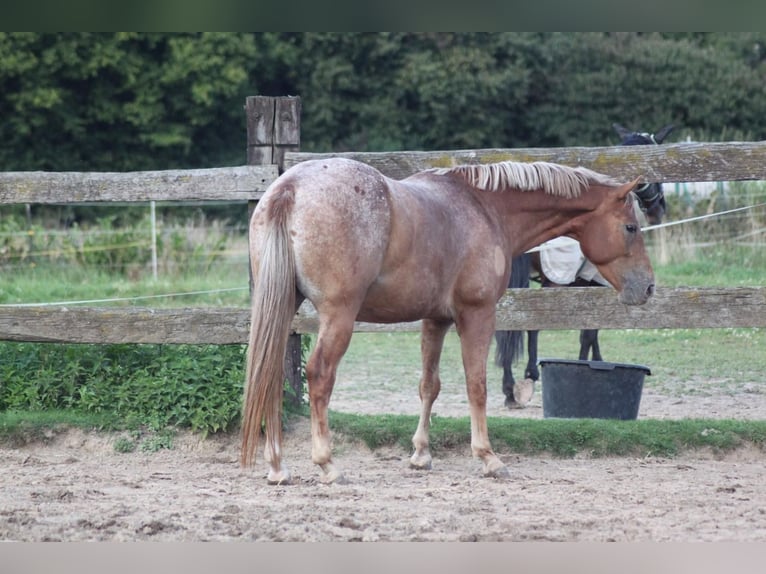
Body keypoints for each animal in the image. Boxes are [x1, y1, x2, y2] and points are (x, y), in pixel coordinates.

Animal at [242, 155, 656, 484]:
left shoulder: (435, 320)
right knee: (319, 376)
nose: (649, 287)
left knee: (269, 373)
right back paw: (327, 464)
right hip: (338, 317)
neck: (484, 208)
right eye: (631, 227)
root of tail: (291, 188)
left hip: (284, 308)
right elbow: (477, 386)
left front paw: (421, 455)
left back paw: (277, 466)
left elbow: (429, 385)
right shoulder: (477, 313)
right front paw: (488, 457)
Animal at [496, 122, 676, 410]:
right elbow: (589, 331)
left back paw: (510, 389)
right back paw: (524, 380)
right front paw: (588, 365)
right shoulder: (594, 282)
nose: (659, 209)